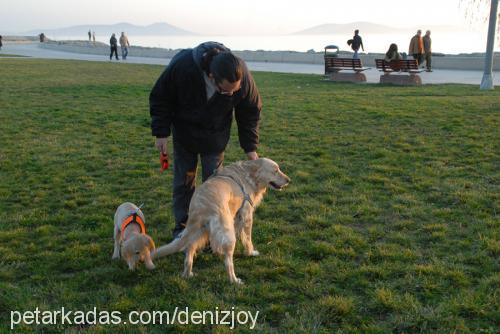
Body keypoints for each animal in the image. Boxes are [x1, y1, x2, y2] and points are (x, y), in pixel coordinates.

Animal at [154, 158, 292, 284]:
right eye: (275, 171)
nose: (289, 180)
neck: (248, 176)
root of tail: (201, 207)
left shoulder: (237, 218)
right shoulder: (247, 215)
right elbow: (248, 238)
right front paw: (251, 252)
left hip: (198, 234)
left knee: (189, 255)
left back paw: (188, 274)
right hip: (227, 234)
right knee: (228, 263)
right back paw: (234, 281)